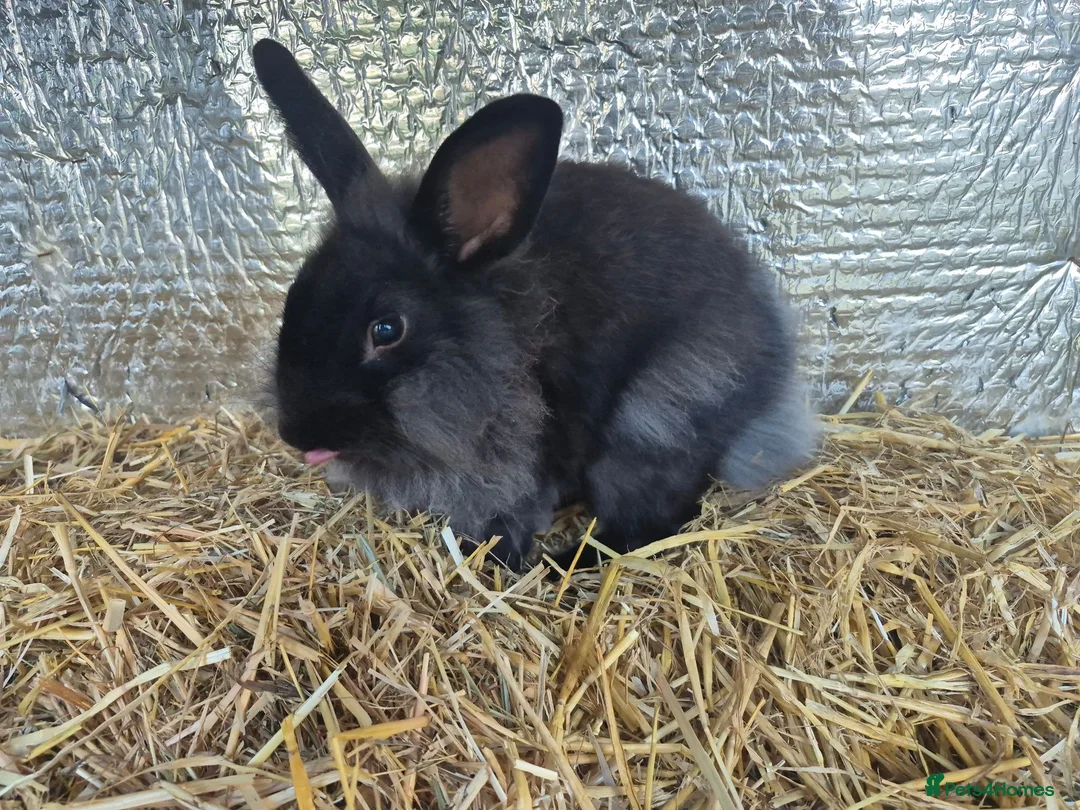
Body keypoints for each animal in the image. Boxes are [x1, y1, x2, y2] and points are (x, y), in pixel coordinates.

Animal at [252, 38, 819, 573]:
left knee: (653, 519)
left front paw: (494, 564)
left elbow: (509, 521)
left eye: (387, 330)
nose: (293, 433)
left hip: (654, 418)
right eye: (294, 296)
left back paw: (564, 565)